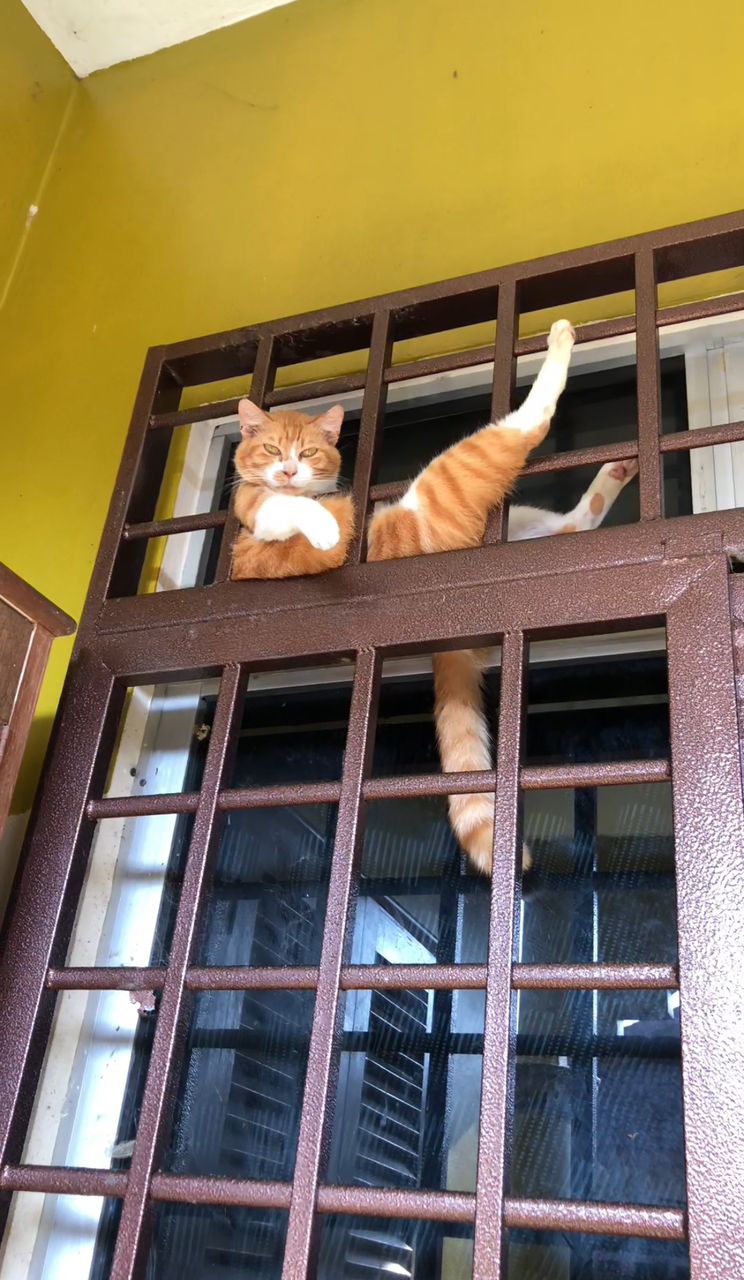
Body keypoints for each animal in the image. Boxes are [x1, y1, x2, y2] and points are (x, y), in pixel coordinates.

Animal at [233, 322, 637, 870]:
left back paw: (613, 474)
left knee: (577, 521)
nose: (290, 471)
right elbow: (286, 511)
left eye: (310, 452)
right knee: (523, 428)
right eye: (272, 451)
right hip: (448, 484)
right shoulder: (253, 530)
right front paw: (322, 524)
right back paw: (558, 347)